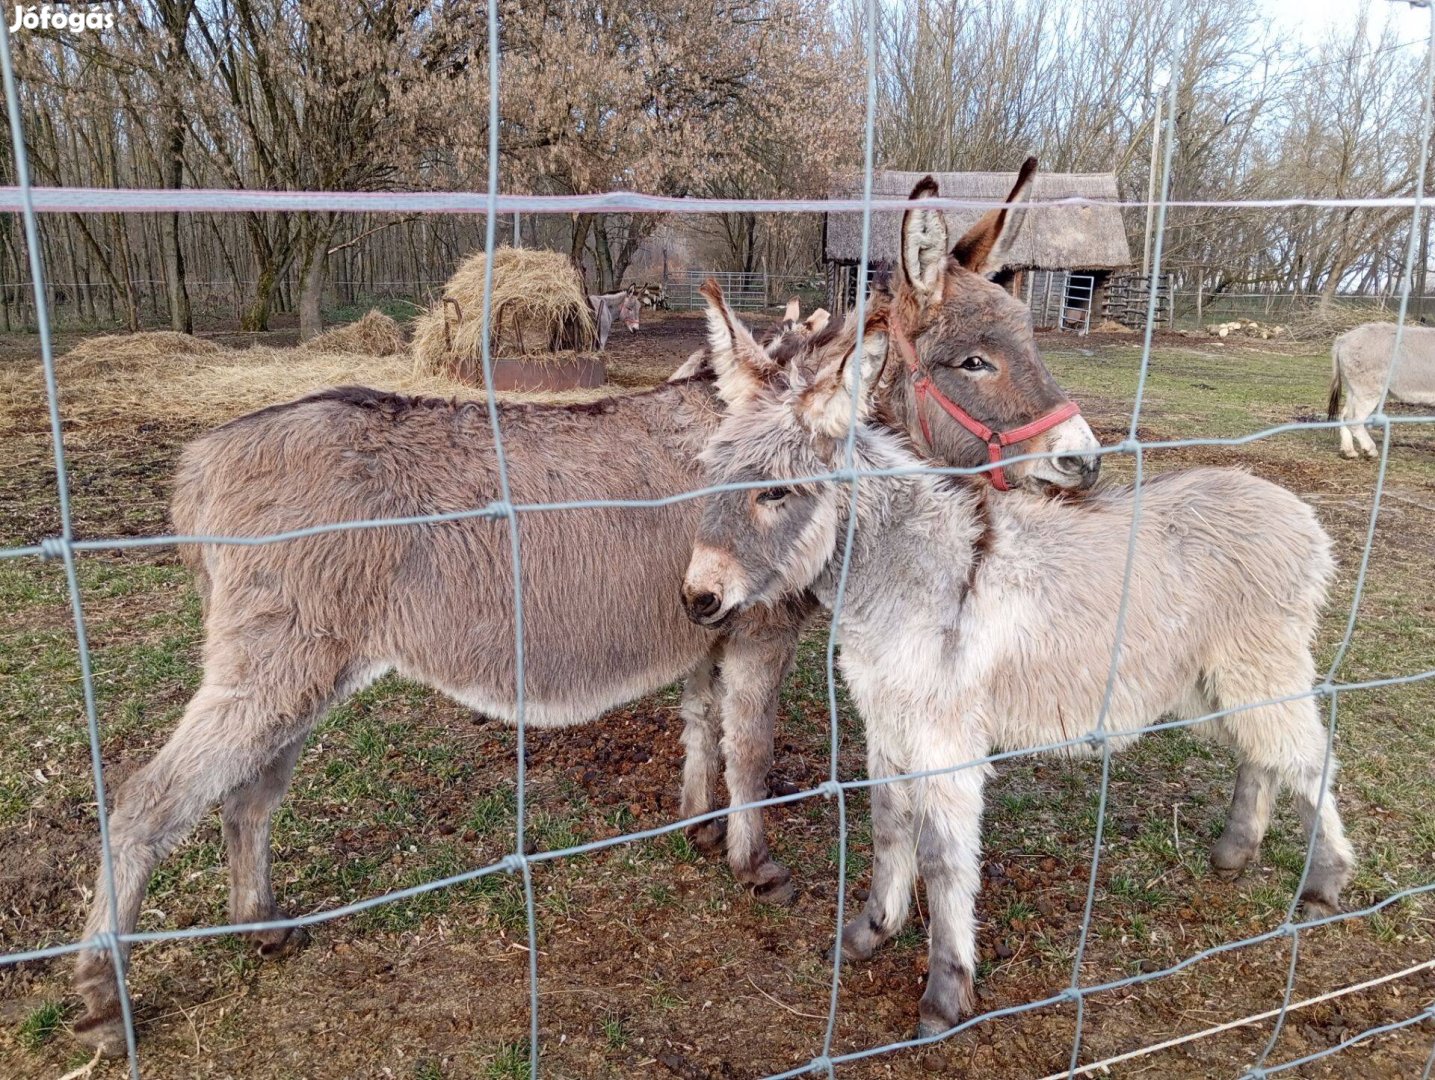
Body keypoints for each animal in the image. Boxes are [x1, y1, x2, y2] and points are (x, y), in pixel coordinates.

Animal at [72, 162, 1096, 1055]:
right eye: (975, 362)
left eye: (1028, 342)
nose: (1084, 459)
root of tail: (203, 456)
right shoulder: (760, 629)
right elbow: (753, 747)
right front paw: (754, 863)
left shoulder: (706, 625)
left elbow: (700, 728)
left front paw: (697, 824)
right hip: (276, 669)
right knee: (146, 801)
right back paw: (102, 995)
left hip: (298, 674)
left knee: (247, 797)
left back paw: (262, 925)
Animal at [683, 279, 1354, 1038]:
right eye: (706, 476)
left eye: (775, 491)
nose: (698, 598)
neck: (909, 573)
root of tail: (1290, 506)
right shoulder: (885, 722)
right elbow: (888, 825)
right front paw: (871, 931)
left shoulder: (946, 740)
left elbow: (944, 856)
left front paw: (945, 992)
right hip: (1207, 681)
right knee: (1259, 751)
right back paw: (1236, 851)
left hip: (1257, 665)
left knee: (1304, 755)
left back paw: (1325, 881)